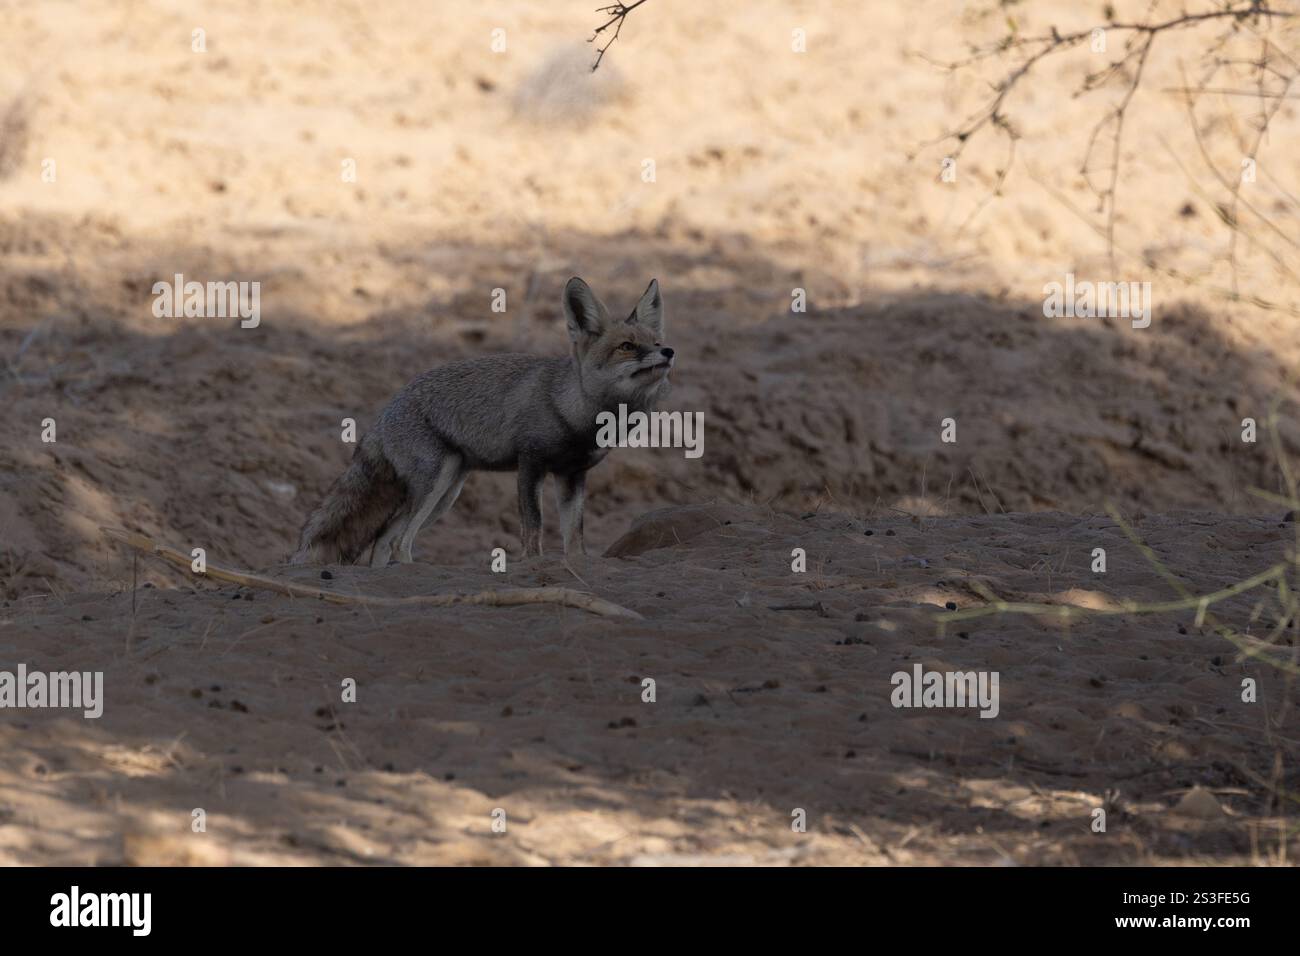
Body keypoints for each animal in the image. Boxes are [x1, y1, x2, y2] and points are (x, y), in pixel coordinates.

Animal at [291, 276, 673, 566]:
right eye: (627, 346)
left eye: (656, 342)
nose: (669, 352)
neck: (575, 412)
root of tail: (385, 410)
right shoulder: (530, 464)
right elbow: (533, 528)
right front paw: (532, 564)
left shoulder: (572, 475)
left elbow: (574, 536)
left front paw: (577, 564)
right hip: (435, 484)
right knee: (400, 541)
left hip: (446, 493)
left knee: (385, 539)